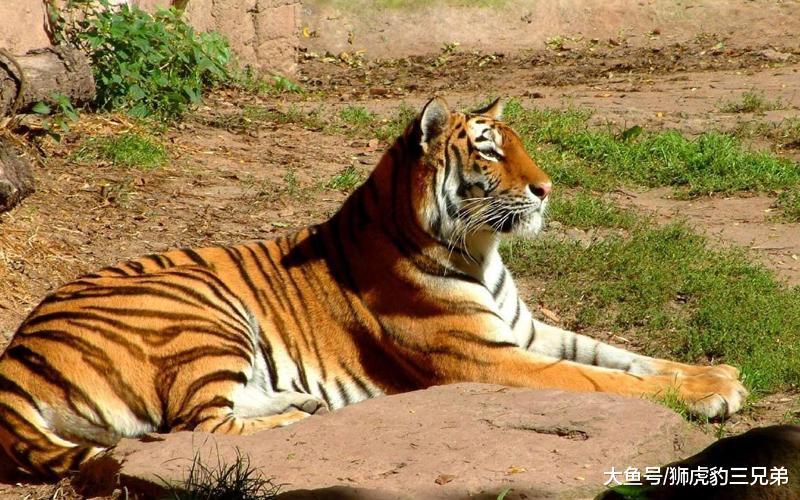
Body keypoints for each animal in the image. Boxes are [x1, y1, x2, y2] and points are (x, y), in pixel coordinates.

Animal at [0, 97, 747, 479]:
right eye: (490, 150)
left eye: (519, 143)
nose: (546, 188)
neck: (482, 252)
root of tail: (15, 355)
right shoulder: (490, 359)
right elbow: (600, 380)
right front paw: (709, 396)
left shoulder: (526, 330)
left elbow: (622, 355)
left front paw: (717, 374)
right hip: (199, 310)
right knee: (201, 425)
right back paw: (299, 417)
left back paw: (306, 402)